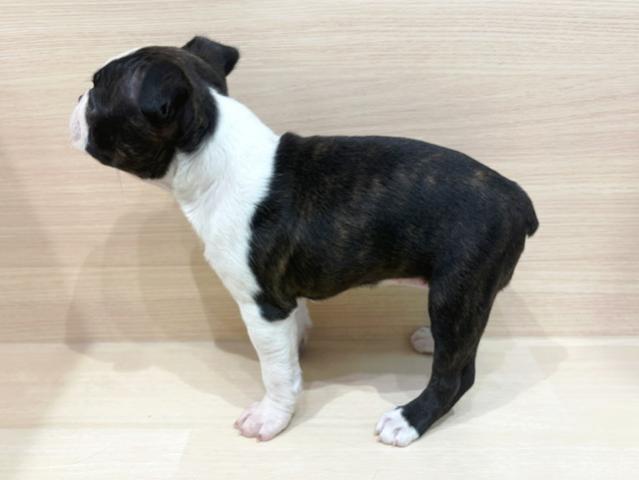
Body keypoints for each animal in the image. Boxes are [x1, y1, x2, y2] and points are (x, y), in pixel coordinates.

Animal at [70, 37, 538, 447]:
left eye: (96, 96)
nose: (75, 99)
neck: (214, 152)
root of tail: (518, 199)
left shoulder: (262, 304)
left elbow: (274, 371)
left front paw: (271, 416)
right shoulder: (282, 301)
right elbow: (289, 343)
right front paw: (298, 351)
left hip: (457, 291)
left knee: (456, 375)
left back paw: (408, 419)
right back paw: (429, 342)